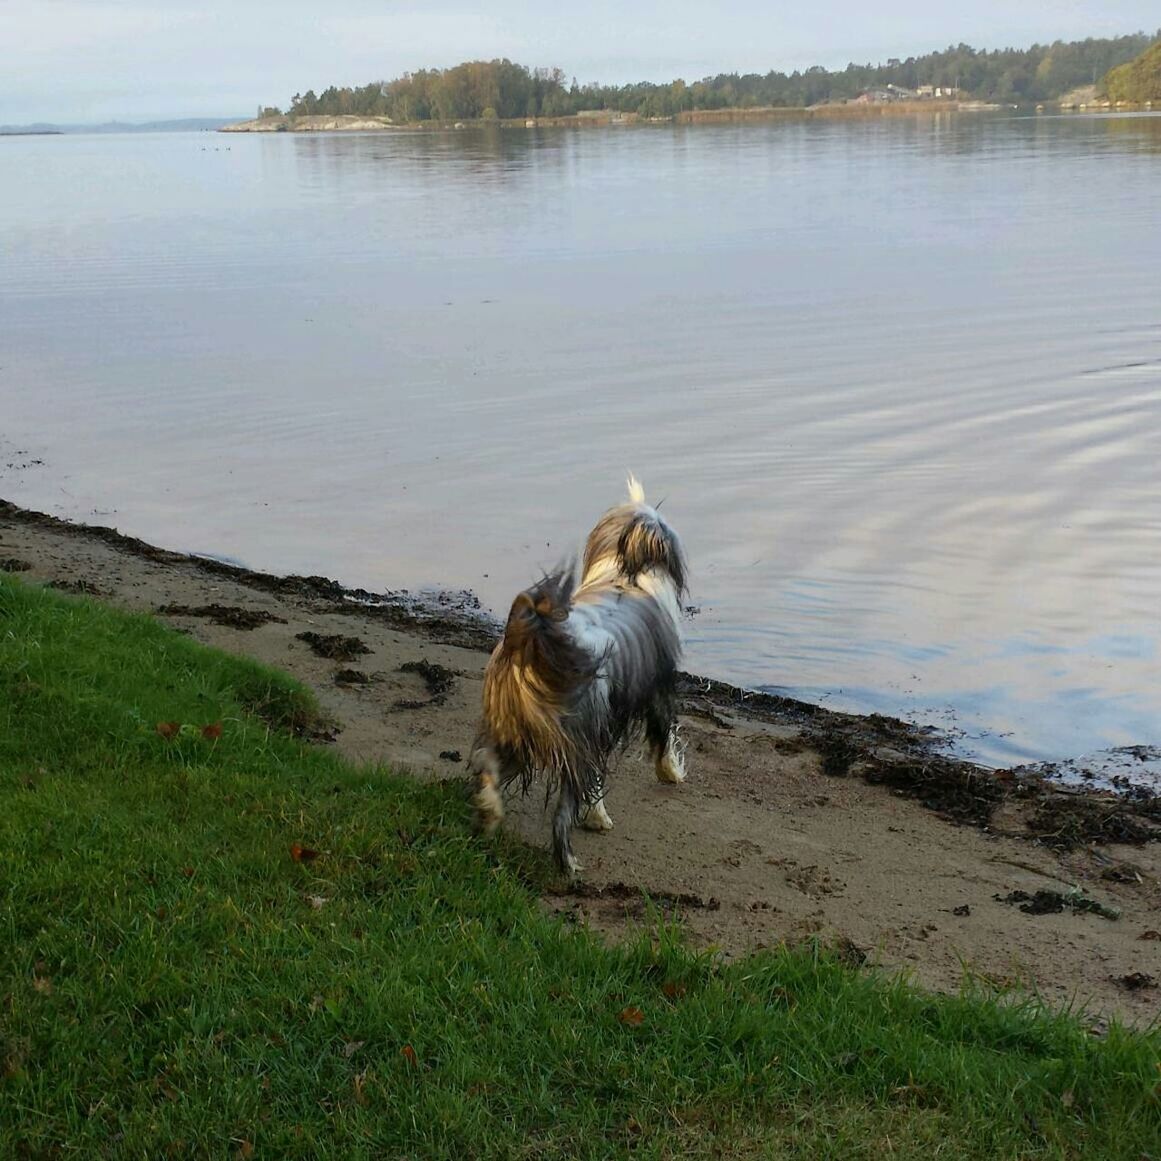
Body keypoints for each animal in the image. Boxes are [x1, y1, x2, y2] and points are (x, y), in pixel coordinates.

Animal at [469, 478, 687, 873]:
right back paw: (568, 863)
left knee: (488, 767)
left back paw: (489, 816)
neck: (627, 576)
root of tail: (534, 647)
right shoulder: (656, 690)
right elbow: (663, 737)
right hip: (575, 740)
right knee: (562, 813)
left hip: (513, 729)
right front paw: (670, 773)